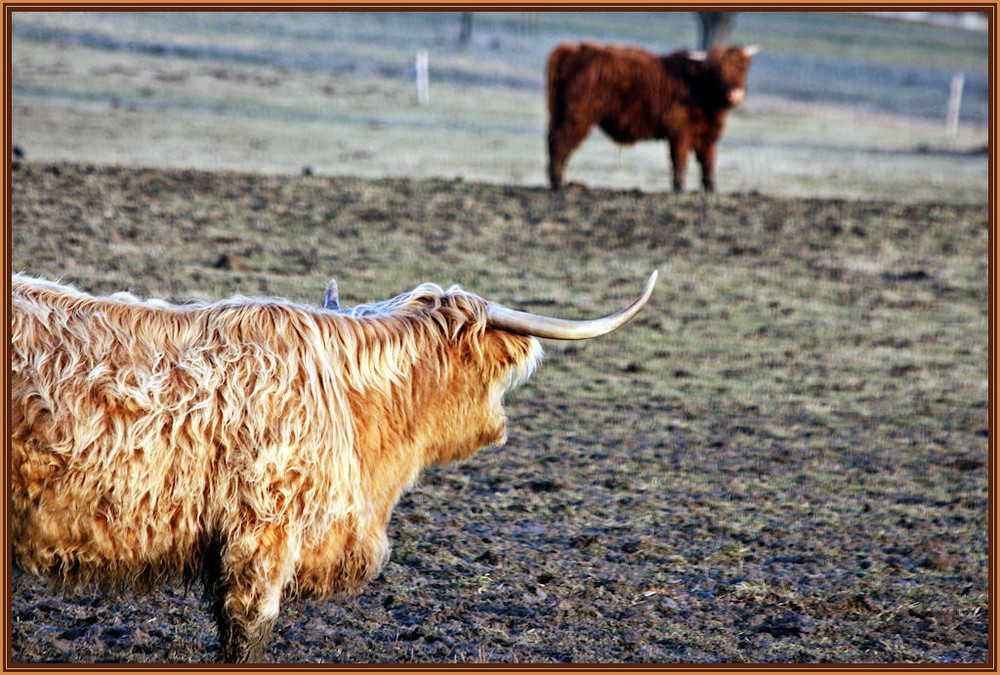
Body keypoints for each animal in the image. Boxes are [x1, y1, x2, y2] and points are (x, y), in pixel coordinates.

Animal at [548, 42, 756, 191]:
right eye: (717, 70)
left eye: (743, 68)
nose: (735, 94)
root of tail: (574, 49)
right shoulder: (679, 131)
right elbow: (680, 160)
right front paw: (679, 188)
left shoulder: (706, 134)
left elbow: (708, 160)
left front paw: (711, 188)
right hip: (576, 117)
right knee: (560, 142)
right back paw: (558, 183)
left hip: (561, 114)